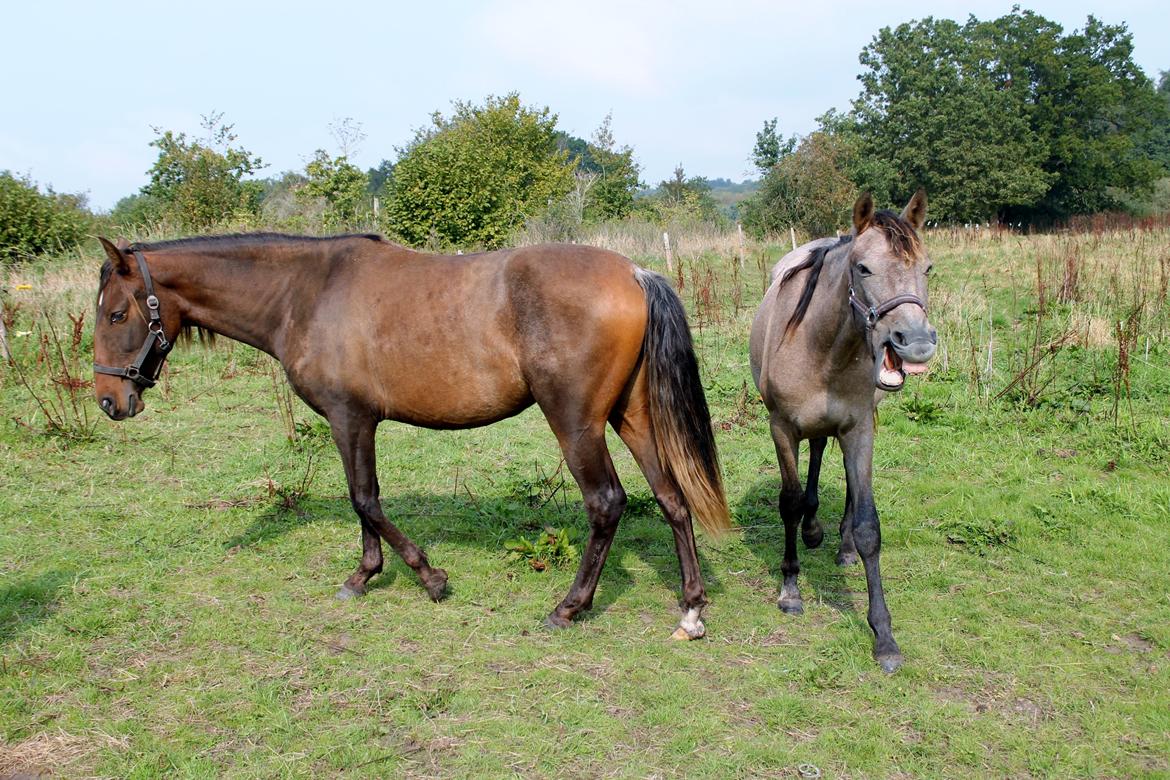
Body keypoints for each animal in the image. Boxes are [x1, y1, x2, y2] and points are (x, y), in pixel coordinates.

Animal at [93, 236, 730, 640]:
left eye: (118, 314)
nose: (109, 401)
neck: (306, 292)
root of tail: (633, 273)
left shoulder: (349, 419)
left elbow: (365, 499)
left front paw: (427, 577)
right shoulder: (355, 422)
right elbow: (364, 501)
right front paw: (366, 574)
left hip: (576, 424)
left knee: (606, 504)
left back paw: (568, 609)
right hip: (633, 416)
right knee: (672, 499)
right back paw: (691, 610)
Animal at [753, 190, 935, 673]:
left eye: (928, 268)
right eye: (863, 268)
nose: (916, 343)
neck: (822, 345)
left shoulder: (859, 429)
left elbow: (871, 526)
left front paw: (884, 637)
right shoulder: (781, 428)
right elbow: (790, 502)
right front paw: (790, 588)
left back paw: (842, 544)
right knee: (815, 455)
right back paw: (814, 531)